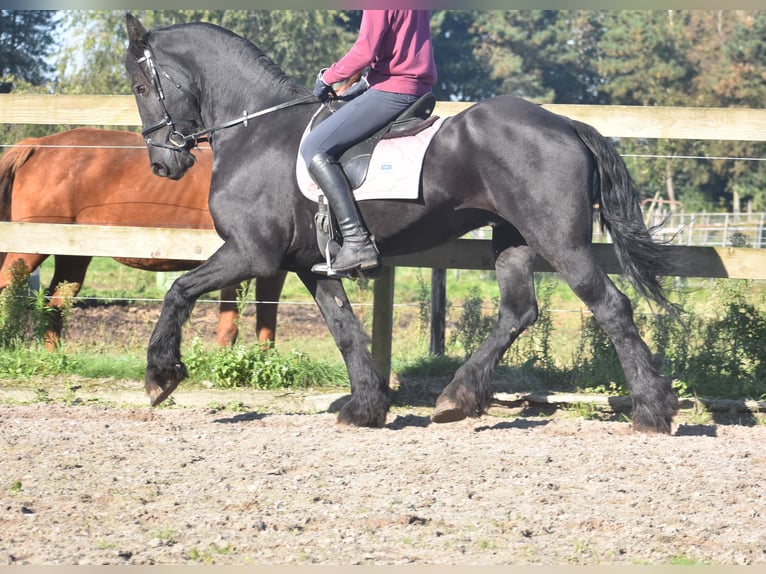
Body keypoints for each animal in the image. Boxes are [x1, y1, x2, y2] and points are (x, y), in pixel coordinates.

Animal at [0, 128, 288, 348]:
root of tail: (36, 146)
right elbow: (230, 324)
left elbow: (266, 320)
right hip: (30, 248)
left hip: (73, 254)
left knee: (55, 304)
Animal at [124, 14, 680, 432]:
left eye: (140, 84)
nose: (163, 165)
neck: (256, 128)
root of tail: (564, 123)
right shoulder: (311, 265)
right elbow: (345, 329)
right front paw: (365, 407)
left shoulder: (250, 252)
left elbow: (178, 289)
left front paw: (160, 376)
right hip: (513, 240)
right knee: (518, 313)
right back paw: (457, 398)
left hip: (558, 239)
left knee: (609, 306)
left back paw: (651, 412)